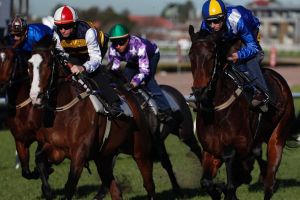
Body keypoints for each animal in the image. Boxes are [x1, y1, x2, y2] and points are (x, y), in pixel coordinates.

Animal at [27, 36, 157, 200]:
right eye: (29, 65)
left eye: (49, 64)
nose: (35, 97)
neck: (63, 113)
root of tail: (130, 95)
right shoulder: (55, 148)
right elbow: (39, 160)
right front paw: (48, 191)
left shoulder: (79, 153)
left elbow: (70, 186)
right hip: (103, 157)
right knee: (115, 190)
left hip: (141, 150)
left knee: (149, 185)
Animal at [189, 25, 294, 200]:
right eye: (190, 56)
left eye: (211, 56)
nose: (199, 91)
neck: (217, 110)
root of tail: (280, 80)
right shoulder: (210, 150)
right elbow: (207, 182)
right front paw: (220, 189)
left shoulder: (243, 146)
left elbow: (232, 166)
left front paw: (227, 187)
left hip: (278, 134)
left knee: (269, 182)